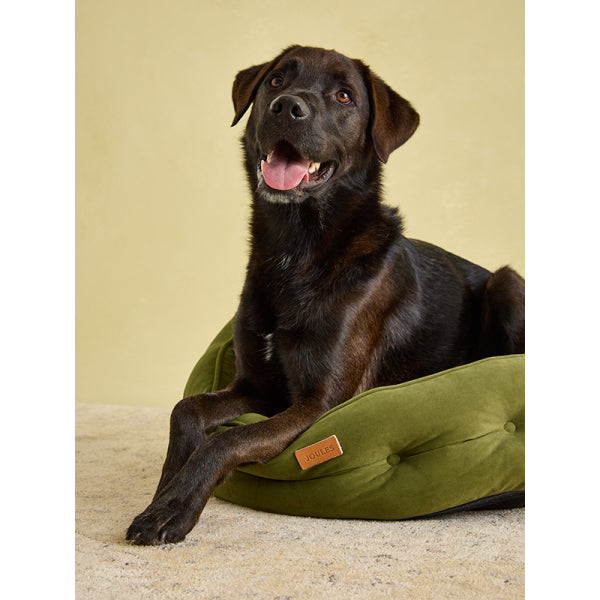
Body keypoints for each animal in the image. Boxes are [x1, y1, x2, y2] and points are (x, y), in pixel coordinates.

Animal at [127, 44, 524, 548]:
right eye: (276, 81)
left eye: (343, 96)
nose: (286, 107)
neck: (297, 248)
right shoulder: (256, 388)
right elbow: (185, 410)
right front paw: (163, 493)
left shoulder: (318, 405)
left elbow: (227, 440)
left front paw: (173, 510)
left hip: (507, 282)